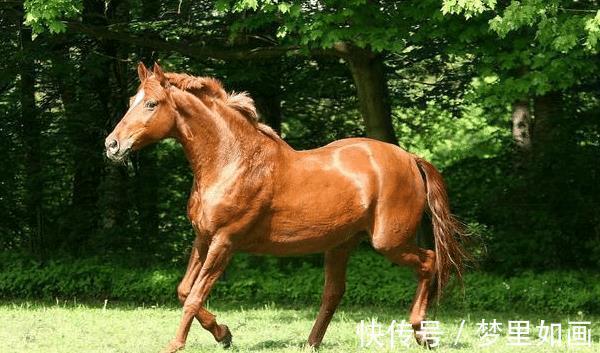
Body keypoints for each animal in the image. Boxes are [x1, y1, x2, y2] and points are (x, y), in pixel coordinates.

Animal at [104, 62, 468, 350]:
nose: (112, 145)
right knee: (334, 292)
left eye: (152, 104)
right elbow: (183, 291)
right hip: (341, 244)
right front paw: (224, 333)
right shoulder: (203, 238)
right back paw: (311, 343)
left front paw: (175, 345)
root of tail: (410, 158)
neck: (232, 160)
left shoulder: (225, 242)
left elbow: (194, 297)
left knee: (429, 262)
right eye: (132, 101)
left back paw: (422, 333)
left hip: (388, 242)